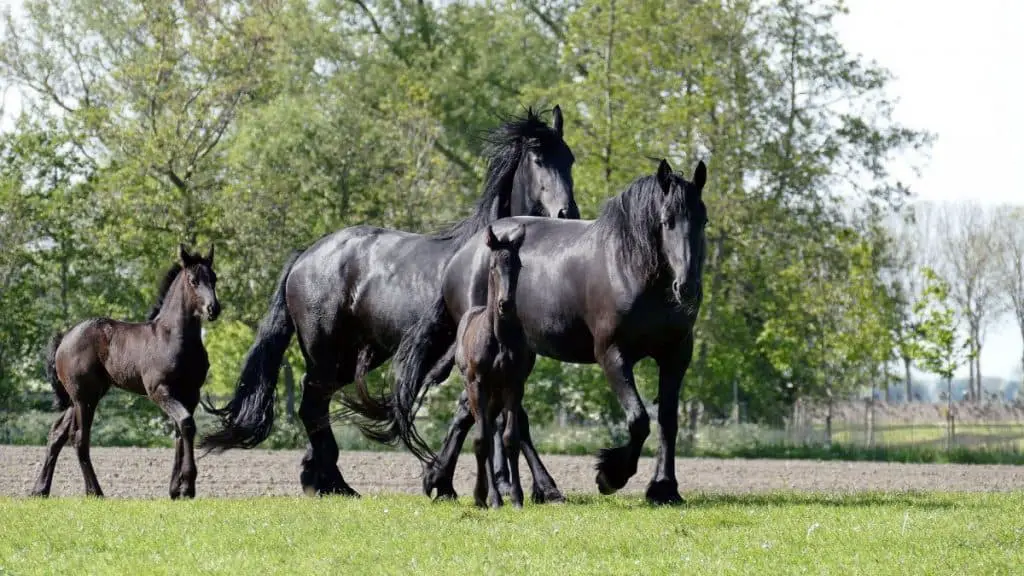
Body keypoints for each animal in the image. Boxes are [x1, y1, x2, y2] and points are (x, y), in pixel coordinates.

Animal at [200, 108, 581, 498]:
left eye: (569, 159)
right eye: (537, 159)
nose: (568, 213)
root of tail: (305, 256)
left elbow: (489, 414)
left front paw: (458, 481)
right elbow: (495, 415)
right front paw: (534, 487)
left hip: (355, 358)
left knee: (317, 406)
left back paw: (317, 477)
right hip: (326, 354)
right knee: (312, 405)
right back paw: (336, 483)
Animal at [352, 157, 704, 502]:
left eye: (702, 220)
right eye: (666, 221)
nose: (686, 287)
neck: (629, 266)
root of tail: (461, 256)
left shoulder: (676, 355)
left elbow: (667, 420)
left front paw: (664, 488)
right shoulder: (613, 355)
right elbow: (639, 419)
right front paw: (610, 475)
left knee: (476, 413)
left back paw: (444, 480)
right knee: (500, 419)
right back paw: (531, 488)